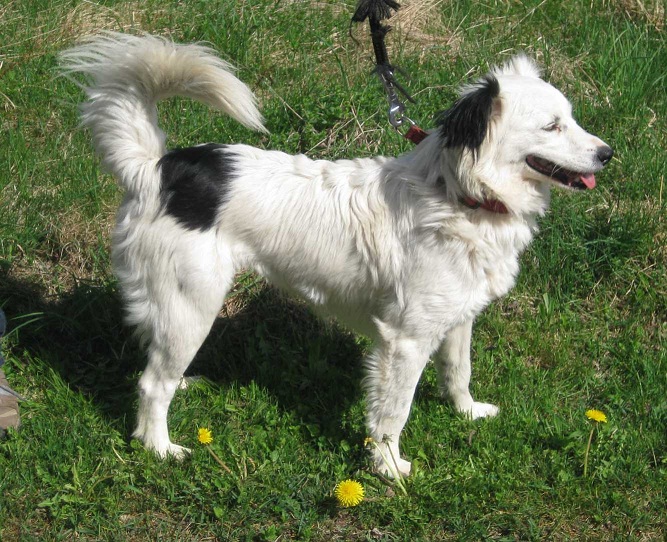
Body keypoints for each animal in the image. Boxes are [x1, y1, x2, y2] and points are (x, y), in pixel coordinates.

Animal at [60, 32, 612, 476]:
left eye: (571, 119)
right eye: (551, 126)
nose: (608, 154)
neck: (459, 195)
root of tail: (157, 168)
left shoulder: (456, 319)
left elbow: (459, 372)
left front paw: (467, 413)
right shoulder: (406, 341)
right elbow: (393, 412)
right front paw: (388, 469)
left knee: (156, 362)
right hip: (192, 304)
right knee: (152, 382)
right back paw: (158, 447)